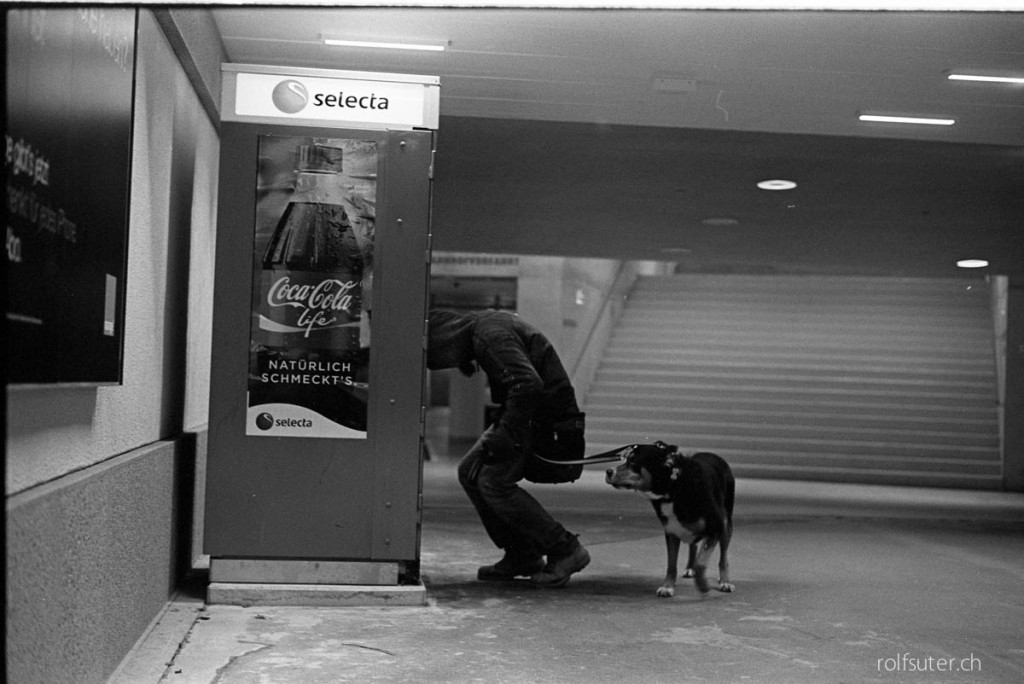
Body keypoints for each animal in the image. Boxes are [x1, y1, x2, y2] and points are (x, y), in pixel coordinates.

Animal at [602, 440, 733, 593]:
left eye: (633, 462)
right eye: (625, 459)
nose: (608, 471)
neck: (673, 487)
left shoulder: (715, 528)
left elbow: (702, 562)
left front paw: (702, 583)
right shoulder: (671, 532)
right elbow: (671, 564)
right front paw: (667, 586)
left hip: (726, 524)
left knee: (723, 556)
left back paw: (724, 581)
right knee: (693, 545)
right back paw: (690, 568)